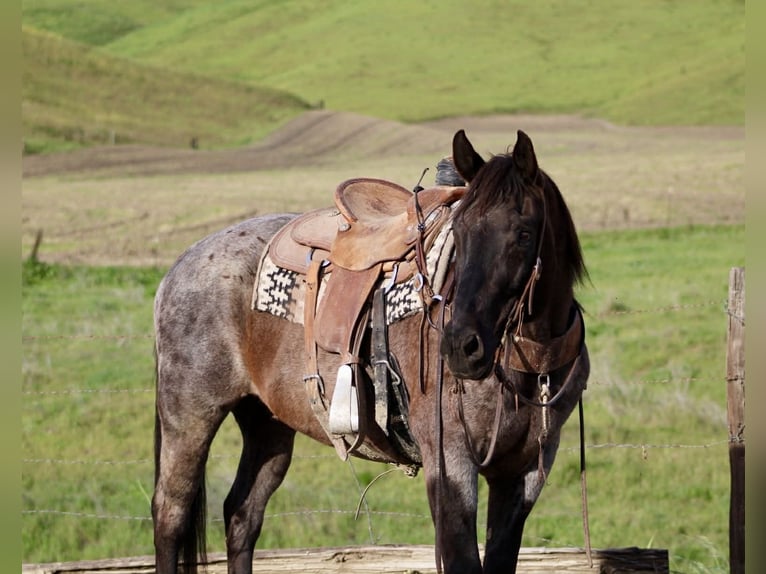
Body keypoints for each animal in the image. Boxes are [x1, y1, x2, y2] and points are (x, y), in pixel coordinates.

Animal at [152, 128, 589, 574]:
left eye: (523, 234)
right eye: (461, 231)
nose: (462, 346)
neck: (528, 368)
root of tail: (180, 265)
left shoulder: (525, 472)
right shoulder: (450, 461)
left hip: (266, 423)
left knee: (242, 515)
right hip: (190, 417)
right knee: (171, 513)